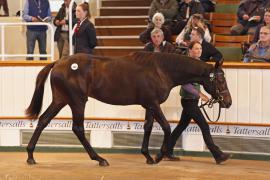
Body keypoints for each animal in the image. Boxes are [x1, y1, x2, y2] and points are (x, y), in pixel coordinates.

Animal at [25, 50, 232, 166]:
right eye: (220, 79)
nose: (228, 102)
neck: (160, 70)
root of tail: (58, 62)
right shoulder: (154, 103)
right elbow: (166, 127)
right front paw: (159, 155)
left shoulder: (149, 104)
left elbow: (148, 127)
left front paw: (148, 156)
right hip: (77, 101)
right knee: (78, 128)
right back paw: (100, 159)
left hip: (61, 100)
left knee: (43, 120)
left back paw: (30, 156)